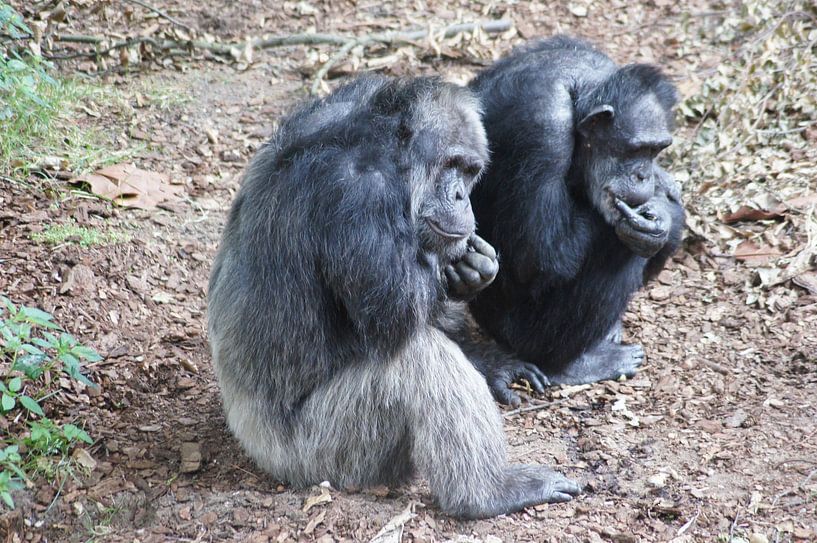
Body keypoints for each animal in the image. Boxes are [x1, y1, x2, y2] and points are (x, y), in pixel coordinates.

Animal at [207, 75, 584, 520]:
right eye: (452, 165)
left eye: (470, 171)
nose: (462, 197)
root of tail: (250, 442)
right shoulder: (361, 197)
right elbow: (398, 314)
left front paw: (493, 353)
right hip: (321, 454)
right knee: (419, 363)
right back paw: (489, 492)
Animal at [462, 36, 684, 406]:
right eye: (635, 149)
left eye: (655, 150)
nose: (644, 174)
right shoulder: (542, 128)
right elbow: (545, 253)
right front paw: (659, 206)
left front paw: (665, 206)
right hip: (524, 332)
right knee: (620, 251)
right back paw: (576, 364)